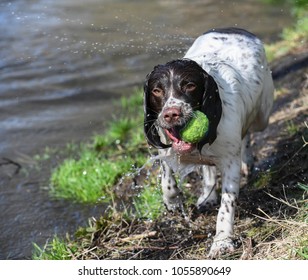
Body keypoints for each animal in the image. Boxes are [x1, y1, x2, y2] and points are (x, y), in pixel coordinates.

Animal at [143, 27, 274, 258]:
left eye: (190, 85)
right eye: (156, 90)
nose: (171, 114)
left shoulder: (230, 161)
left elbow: (227, 206)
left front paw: (222, 241)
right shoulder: (166, 144)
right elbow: (166, 171)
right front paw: (172, 199)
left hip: (263, 115)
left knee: (248, 132)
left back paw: (247, 160)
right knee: (208, 167)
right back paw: (208, 195)